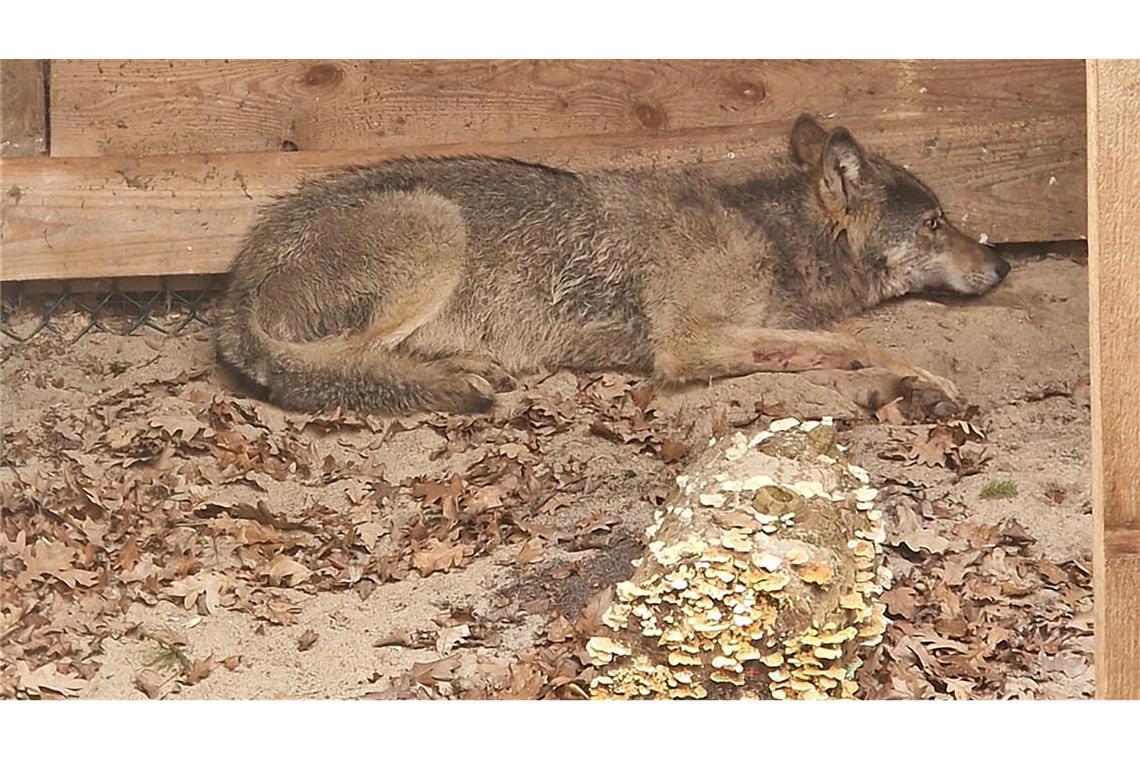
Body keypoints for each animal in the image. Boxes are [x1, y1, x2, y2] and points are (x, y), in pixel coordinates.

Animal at [215, 115, 1009, 416]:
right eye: (936, 223)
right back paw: (454, 378)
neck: (769, 234)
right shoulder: (687, 344)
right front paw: (923, 379)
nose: (1003, 264)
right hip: (436, 226)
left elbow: (824, 347)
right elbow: (854, 340)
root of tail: (234, 288)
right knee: (329, 367)